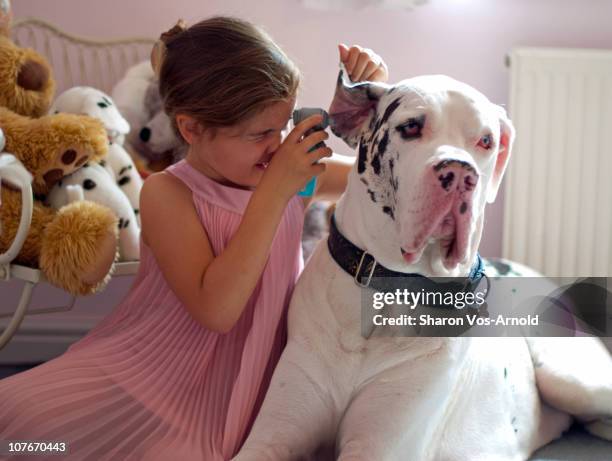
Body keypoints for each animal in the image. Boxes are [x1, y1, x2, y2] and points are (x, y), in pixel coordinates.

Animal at [232, 65, 608, 460]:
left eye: (486, 141)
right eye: (411, 127)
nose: (461, 174)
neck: (387, 291)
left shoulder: (377, 449)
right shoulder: (271, 436)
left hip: (570, 378)